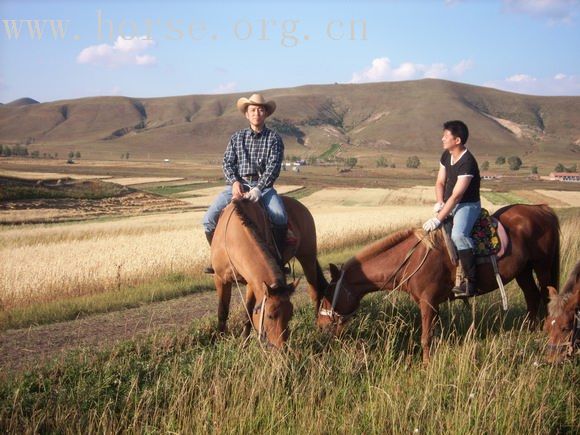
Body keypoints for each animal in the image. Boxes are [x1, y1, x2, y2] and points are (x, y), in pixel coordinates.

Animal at [210, 196, 328, 350]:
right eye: (270, 316)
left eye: (290, 316)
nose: (282, 348)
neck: (232, 240)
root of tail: (302, 207)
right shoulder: (220, 279)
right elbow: (222, 311)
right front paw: (218, 340)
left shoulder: (252, 282)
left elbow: (248, 311)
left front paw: (244, 341)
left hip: (307, 257)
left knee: (315, 292)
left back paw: (317, 326)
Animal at [318, 204, 560, 364]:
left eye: (329, 295)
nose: (320, 326)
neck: (411, 259)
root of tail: (542, 209)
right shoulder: (431, 304)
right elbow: (431, 335)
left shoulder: (428, 303)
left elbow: (426, 337)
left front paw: (426, 366)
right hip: (523, 271)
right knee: (531, 296)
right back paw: (528, 330)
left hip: (542, 266)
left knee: (545, 296)